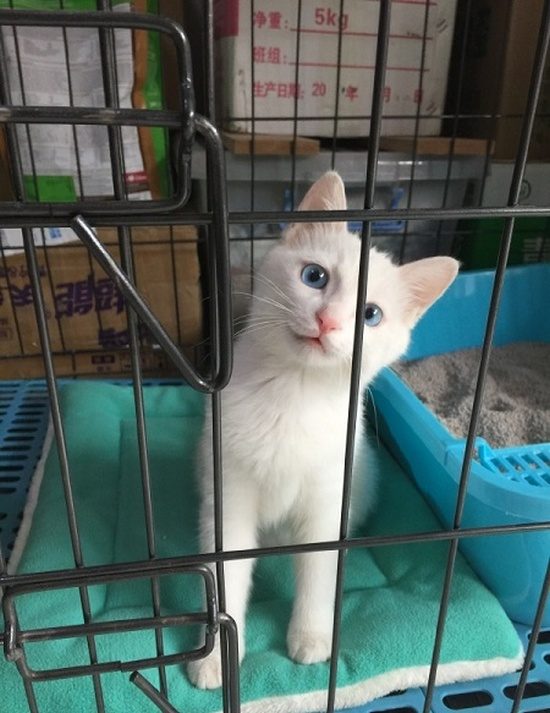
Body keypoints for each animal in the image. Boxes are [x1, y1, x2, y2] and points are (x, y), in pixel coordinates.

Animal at [187, 171, 459, 689]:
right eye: (314, 276)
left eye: (371, 314)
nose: (327, 320)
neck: (293, 392)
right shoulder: (227, 490)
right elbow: (226, 572)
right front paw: (215, 658)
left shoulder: (327, 499)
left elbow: (318, 569)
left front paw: (311, 637)